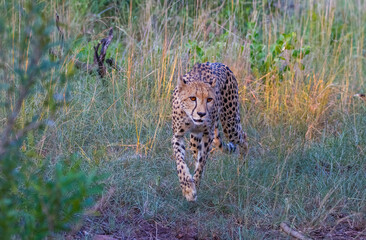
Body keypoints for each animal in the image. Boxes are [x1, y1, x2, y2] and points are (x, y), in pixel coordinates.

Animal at [172, 62, 249, 201]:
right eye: (192, 98)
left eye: (209, 99)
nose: (201, 114)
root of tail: (220, 64)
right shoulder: (177, 136)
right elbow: (180, 163)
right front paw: (188, 188)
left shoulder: (208, 135)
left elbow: (201, 163)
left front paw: (195, 185)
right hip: (194, 138)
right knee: (195, 152)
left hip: (230, 124)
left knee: (243, 137)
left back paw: (242, 166)